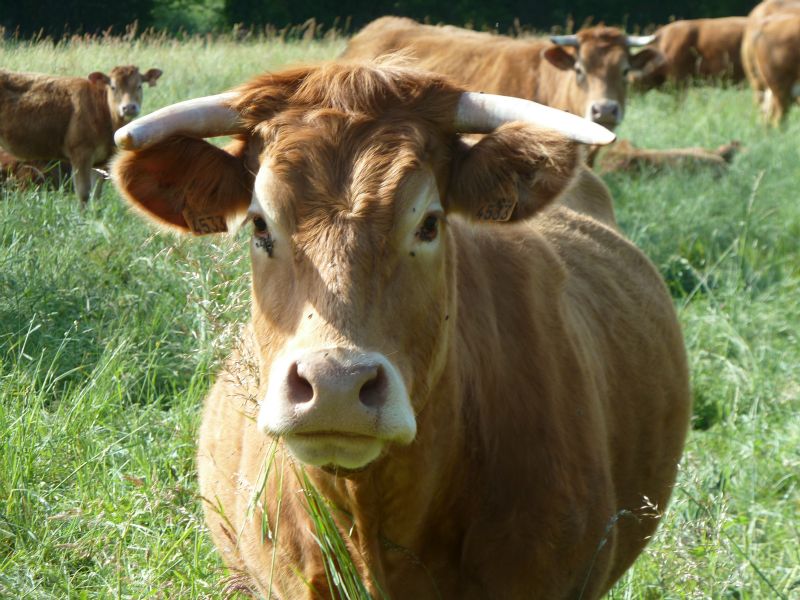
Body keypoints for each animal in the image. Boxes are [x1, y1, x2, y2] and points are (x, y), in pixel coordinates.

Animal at [0, 64, 161, 203]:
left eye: (139, 86)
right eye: (113, 87)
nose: (129, 107)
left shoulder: (101, 161)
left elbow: (96, 195)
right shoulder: (81, 154)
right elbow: (84, 193)